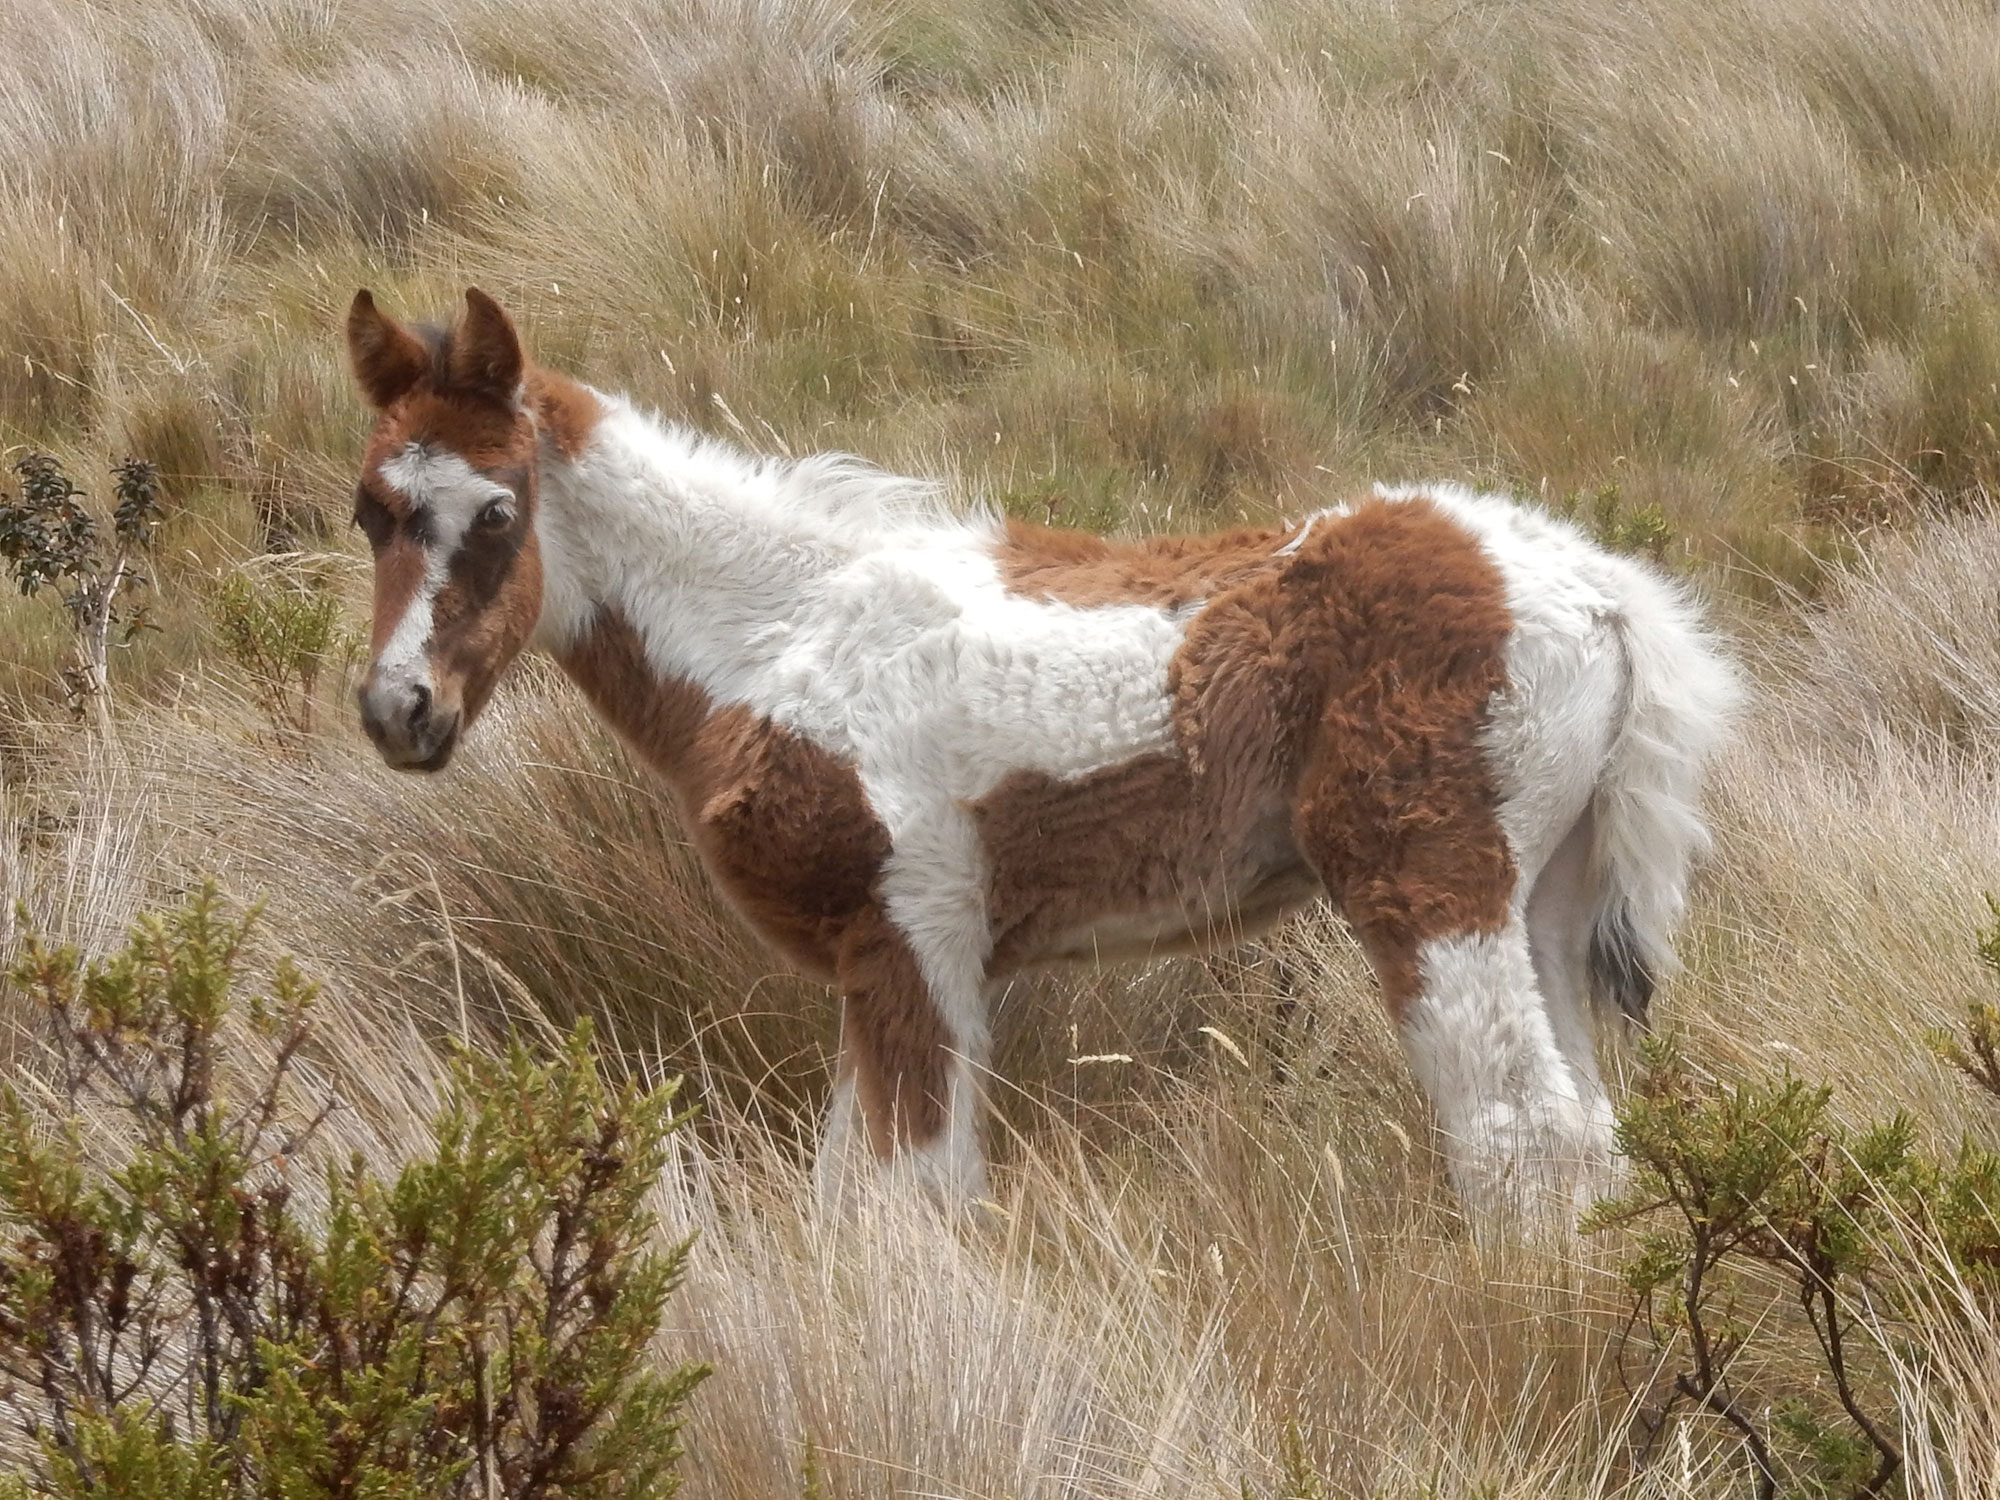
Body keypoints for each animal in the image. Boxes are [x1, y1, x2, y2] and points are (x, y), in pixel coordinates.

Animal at [352, 290, 1744, 1224]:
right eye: (369, 509)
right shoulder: (885, 965)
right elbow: (847, 1198)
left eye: (497, 510)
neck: (781, 632)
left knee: (1519, 1140)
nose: (396, 710)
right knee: (1590, 1141)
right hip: (1541, 899)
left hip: (1429, 886)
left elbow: (916, 1200)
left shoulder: (915, 943)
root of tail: (1598, 588)